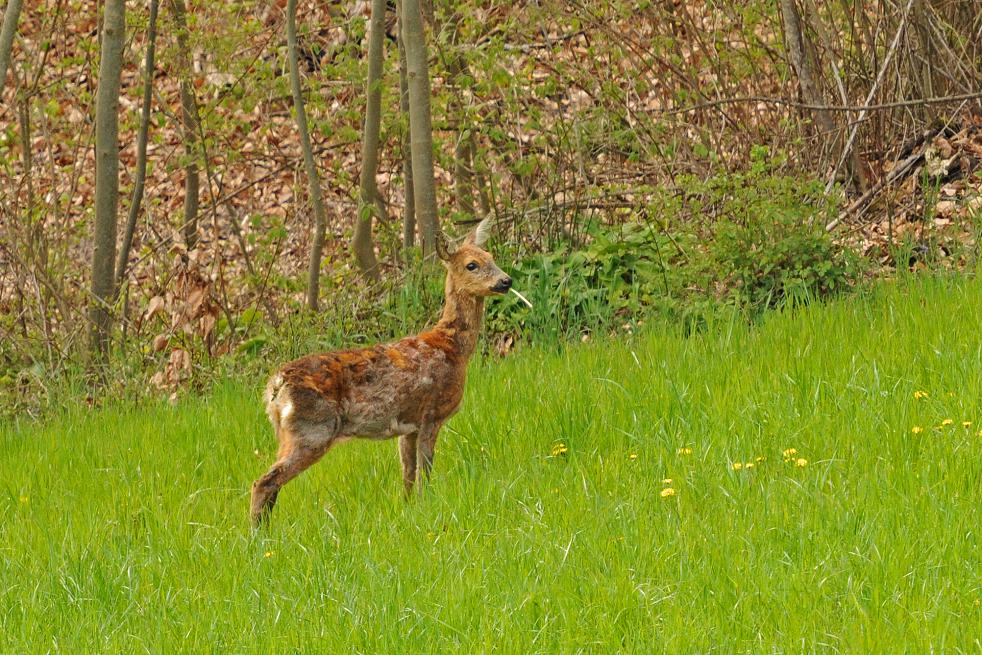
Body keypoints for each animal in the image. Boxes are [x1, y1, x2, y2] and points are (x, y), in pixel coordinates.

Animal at [252, 220, 516, 528]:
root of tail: (275, 387)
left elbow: (408, 473)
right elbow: (425, 470)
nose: (506, 281)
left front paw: (409, 508)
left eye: (491, 257)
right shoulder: (433, 413)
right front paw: (427, 505)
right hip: (313, 430)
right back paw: (258, 535)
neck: (452, 348)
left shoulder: (409, 424)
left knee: (272, 484)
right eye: (472, 265)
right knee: (264, 482)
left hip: (291, 434)